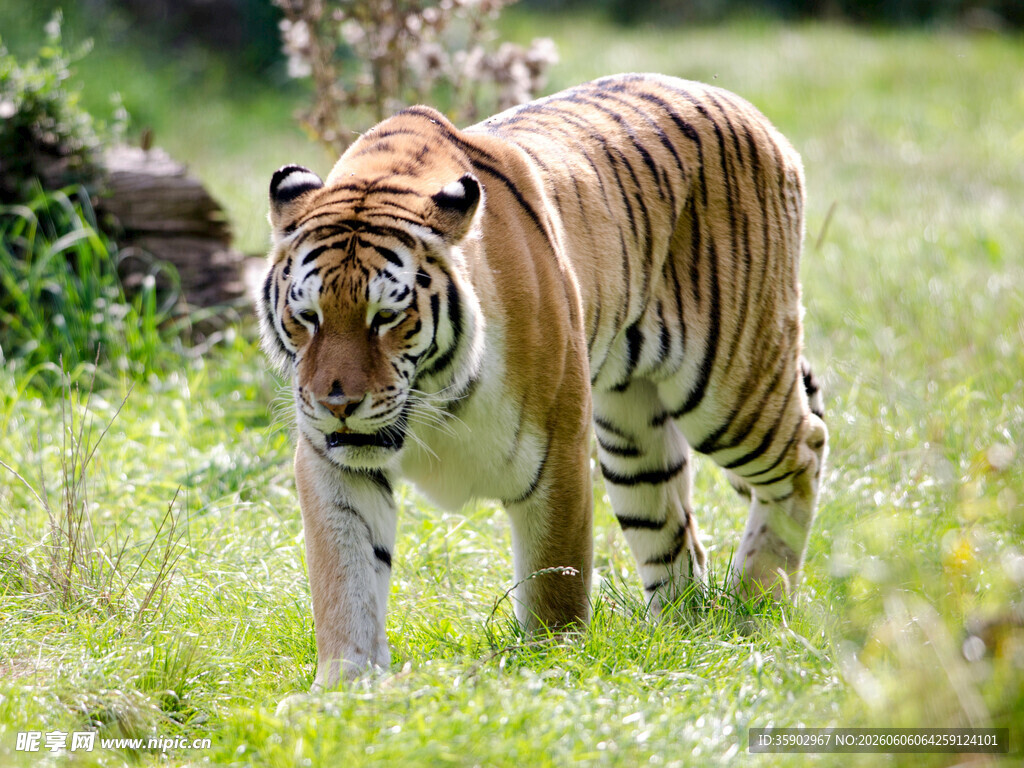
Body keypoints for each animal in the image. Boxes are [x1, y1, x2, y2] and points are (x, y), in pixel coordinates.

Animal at [257, 73, 828, 690]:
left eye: (386, 317)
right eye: (308, 317)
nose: (337, 403)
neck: (434, 397)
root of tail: (747, 109)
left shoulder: (557, 449)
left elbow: (556, 573)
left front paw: (550, 671)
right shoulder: (334, 463)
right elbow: (346, 576)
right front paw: (344, 685)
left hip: (727, 384)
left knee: (805, 447)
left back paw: (759, 598)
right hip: (632, 440)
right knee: (676, 534)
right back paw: (679, 633)